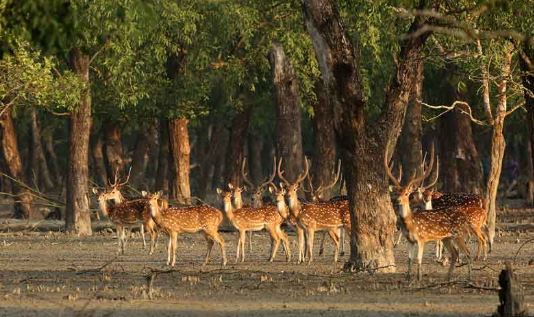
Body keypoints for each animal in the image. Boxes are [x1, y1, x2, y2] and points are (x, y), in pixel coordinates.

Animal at [388, 144, 476, 280]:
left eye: (407, 193)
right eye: (397, 192)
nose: (397, 200)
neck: (410, 224)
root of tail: (464, 216)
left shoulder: (422, 238)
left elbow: (418, 259)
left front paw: (419, 278)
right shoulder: (410, 241)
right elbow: (409, 259)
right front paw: (408, 278)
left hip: (459, 234)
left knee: (467, 252)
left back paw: (469, 278)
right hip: (447, 238)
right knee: (455, 253)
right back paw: (447, 278)